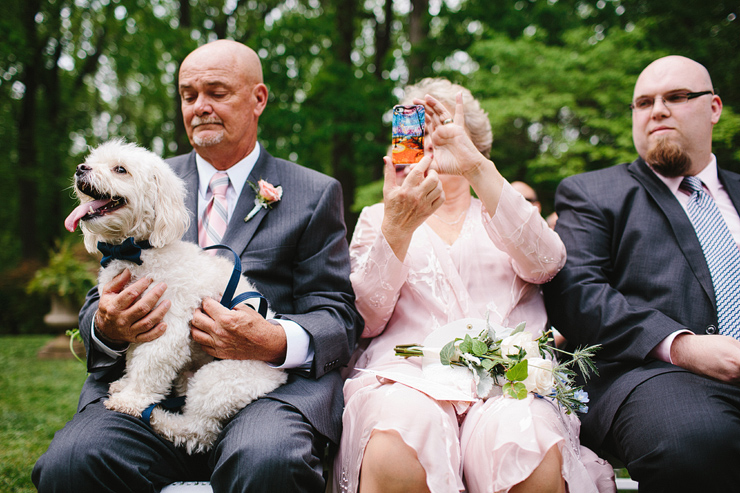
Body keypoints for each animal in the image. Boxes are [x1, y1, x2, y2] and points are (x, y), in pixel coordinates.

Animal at [65, 139, 288, 454]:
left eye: (120, 169)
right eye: (92, 161)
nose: (80, 168)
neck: (138, 251)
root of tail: (281, 373)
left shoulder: (167, 328)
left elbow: (149, 366)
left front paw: (131, 400)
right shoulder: (137, 325)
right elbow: (133, 358)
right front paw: (126, 384)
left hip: (218, 379)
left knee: (199, 431)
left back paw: (157, 418)